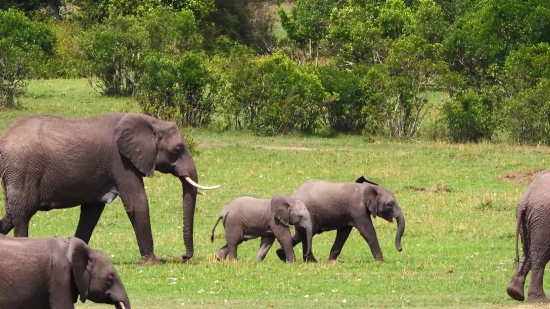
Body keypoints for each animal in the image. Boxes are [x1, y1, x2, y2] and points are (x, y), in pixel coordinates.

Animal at [0, 112, 220, 264]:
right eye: (177, 149)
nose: (184, 256)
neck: (149, 122)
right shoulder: (121, 162)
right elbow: (137, 203)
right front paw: (151, 262)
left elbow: (91, 212)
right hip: (23, 170)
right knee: (22, 214)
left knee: (12, 213)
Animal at [276, 176, 406, 262]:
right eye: (390, 205)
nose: (400, 249)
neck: (368, 187)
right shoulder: (357, 209)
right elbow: (368, 232)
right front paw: (381, 262)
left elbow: (343, 234)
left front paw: (331, 261)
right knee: (306, 235)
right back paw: (312, 261)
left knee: (301, 235)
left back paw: (281, 256)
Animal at [508, 168, 550, 300]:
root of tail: (526, 198)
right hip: (543, 219)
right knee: (540, 254)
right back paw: (540, 299)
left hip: (529, 220)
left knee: (528, 253)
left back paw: (515, 293)